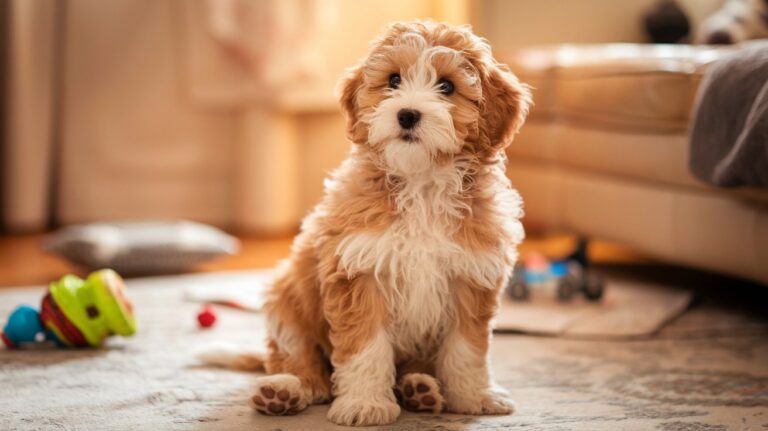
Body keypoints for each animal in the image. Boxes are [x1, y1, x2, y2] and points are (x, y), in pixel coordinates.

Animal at [202, 21, 528, 428]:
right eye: (393, 80)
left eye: (447, 86)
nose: (407, 114)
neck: (421, 182)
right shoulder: (358, 271)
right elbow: (365, 348)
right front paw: (364, 404)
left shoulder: (471, 276)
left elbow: (467, 348)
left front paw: (473, 396)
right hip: (286, 301)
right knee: (303, 365)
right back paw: (283, 392)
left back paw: (419, 389)